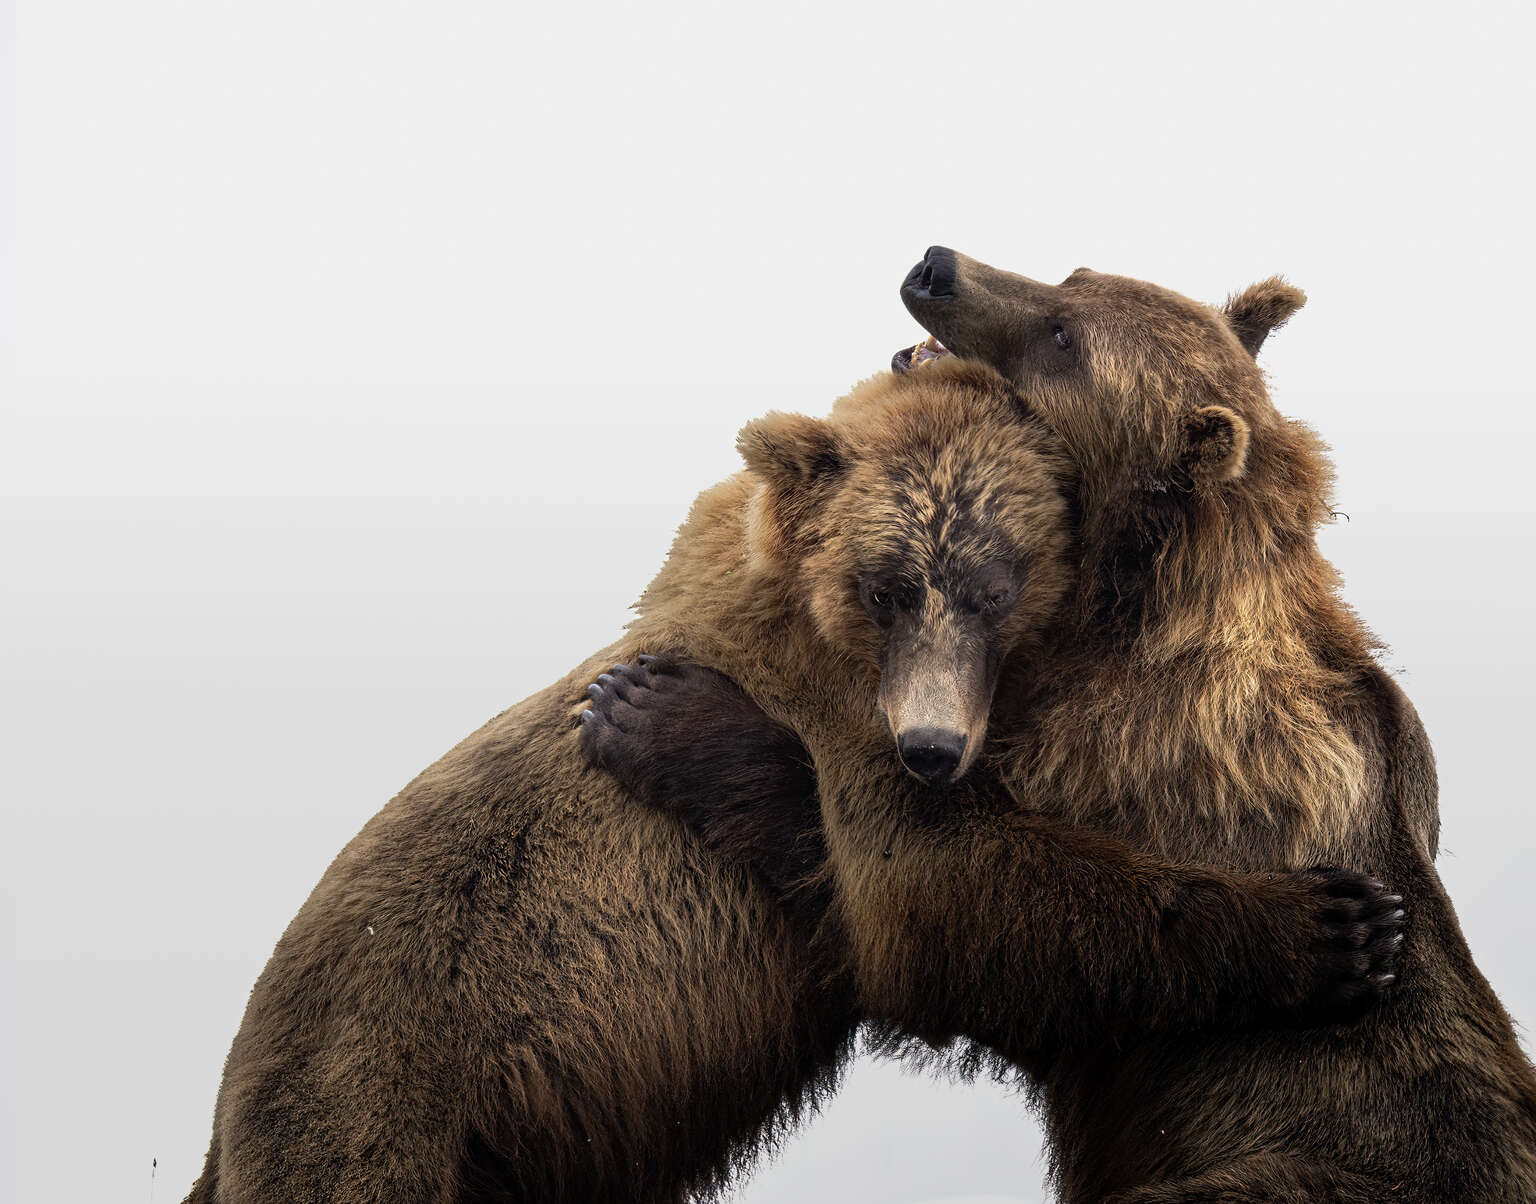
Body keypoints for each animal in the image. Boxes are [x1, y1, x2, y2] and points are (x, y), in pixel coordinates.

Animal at [185, 358, 1401, 1204]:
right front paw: (1334, 927)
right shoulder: (830, 706)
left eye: (996, 582)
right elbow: (952, 895)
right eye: (888, 583)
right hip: (388, 1078)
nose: (932, 748)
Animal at [582, 250, 1536, 1203]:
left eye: (1064, 337)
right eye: (1074, 276)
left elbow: (940, 894)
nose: (936, 268)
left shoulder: (1140, 745)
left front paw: (663, 713)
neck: (1124, 600)